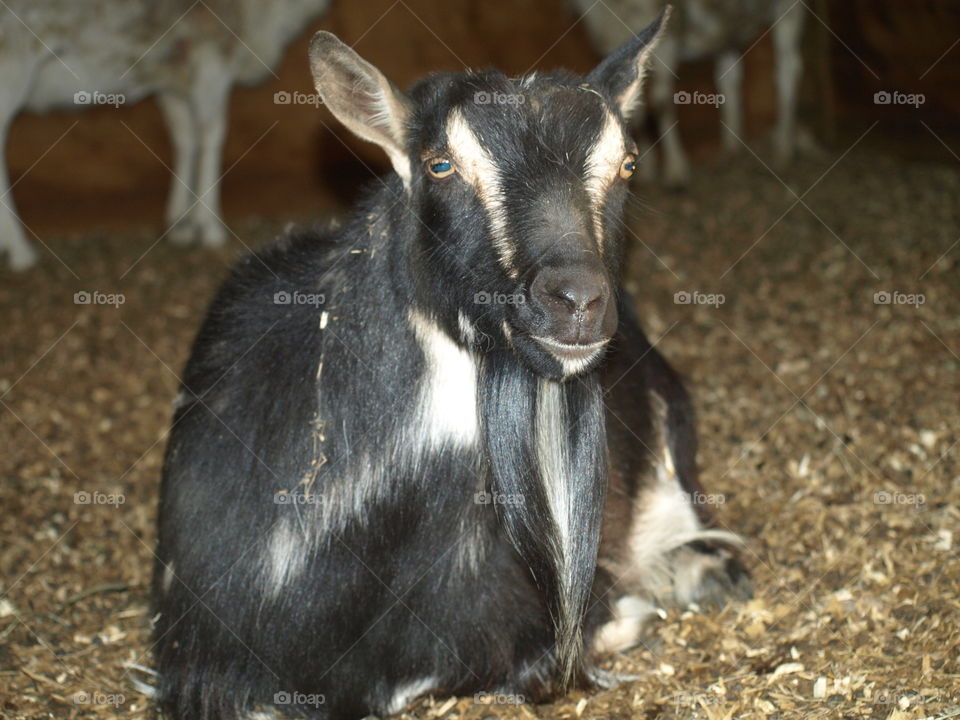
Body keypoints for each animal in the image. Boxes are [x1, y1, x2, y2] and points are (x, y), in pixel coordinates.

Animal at [0, 0, 330, 270]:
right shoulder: (210, 55)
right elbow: (212, 132)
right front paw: (211, 230)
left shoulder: (172, 79)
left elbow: (184, 136)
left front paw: (180, 226)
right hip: (12, 62)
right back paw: (21, 253)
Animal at [574, 0, 806, 187]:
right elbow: (631, 108)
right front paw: (645, 171)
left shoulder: (668, 36)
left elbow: (661, 102)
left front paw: (676, 172)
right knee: (729, 77)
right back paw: (731, 150)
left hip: (789, 8)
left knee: (788, 69)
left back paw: (783, 150)